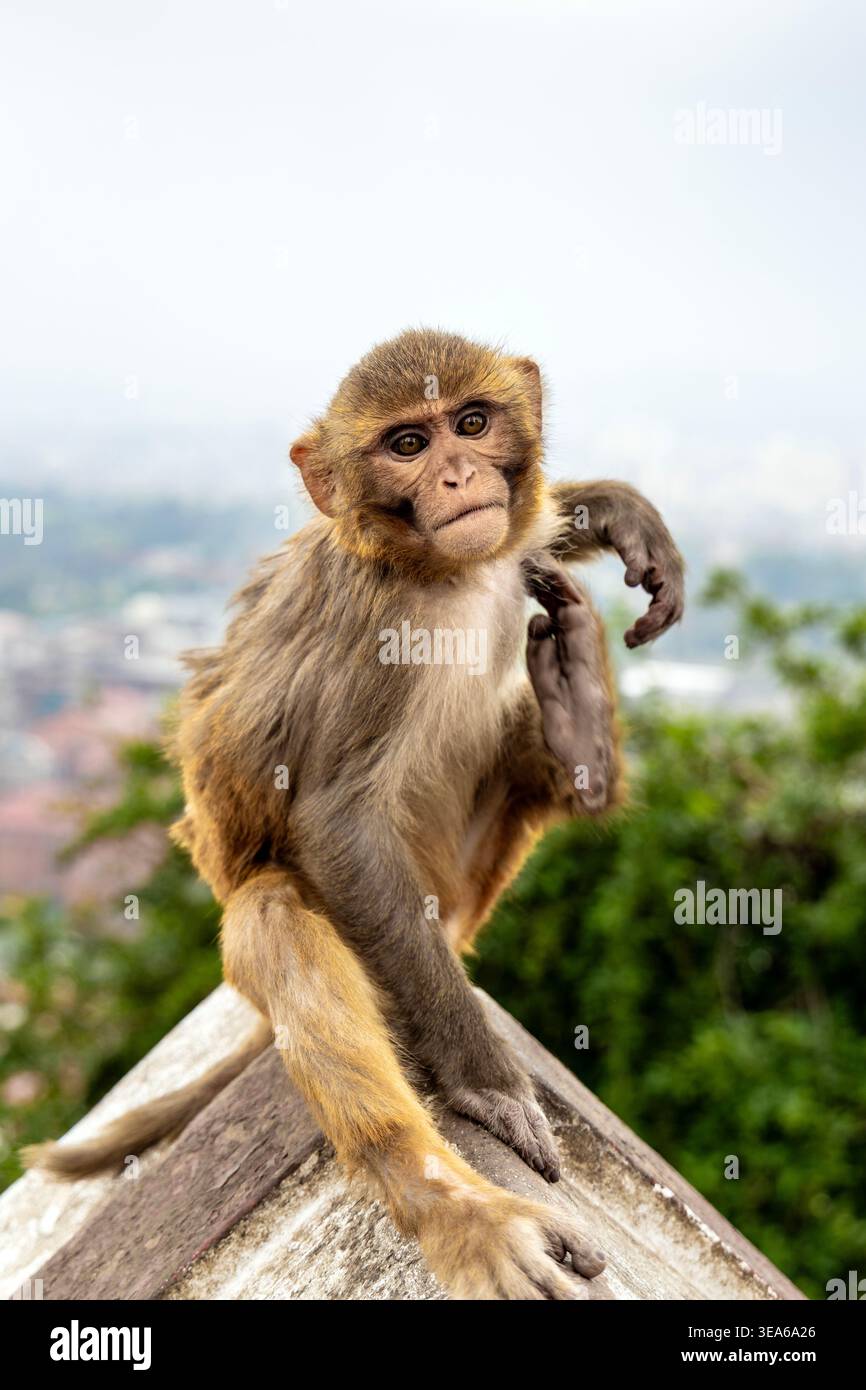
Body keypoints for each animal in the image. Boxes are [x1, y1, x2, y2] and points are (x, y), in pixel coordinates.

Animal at [25, 329, 684, 1300]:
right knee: (274, 918)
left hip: (468, 879)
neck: (442, 574)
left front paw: (607, 510)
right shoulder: (372, 637)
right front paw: (486, 1083)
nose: (456, 476)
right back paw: (456, 1208)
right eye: (407, 445)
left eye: (471, 424)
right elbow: (337, 826)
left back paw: (578, 728)